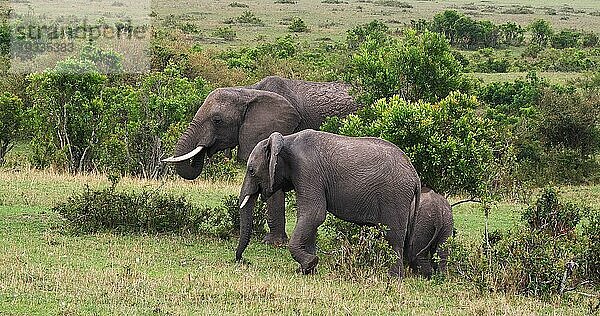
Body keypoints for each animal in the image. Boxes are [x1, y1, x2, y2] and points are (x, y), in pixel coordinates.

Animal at [236, 130, 422, 278]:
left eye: (251, 170)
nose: (243, 261)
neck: (285, 141)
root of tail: (415, 176)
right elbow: (310, 218)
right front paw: (307, 270)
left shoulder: (307, 170)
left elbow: (314, 214)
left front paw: (310, 263)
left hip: (395, 196)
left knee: (393, 236)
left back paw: (393, 278)